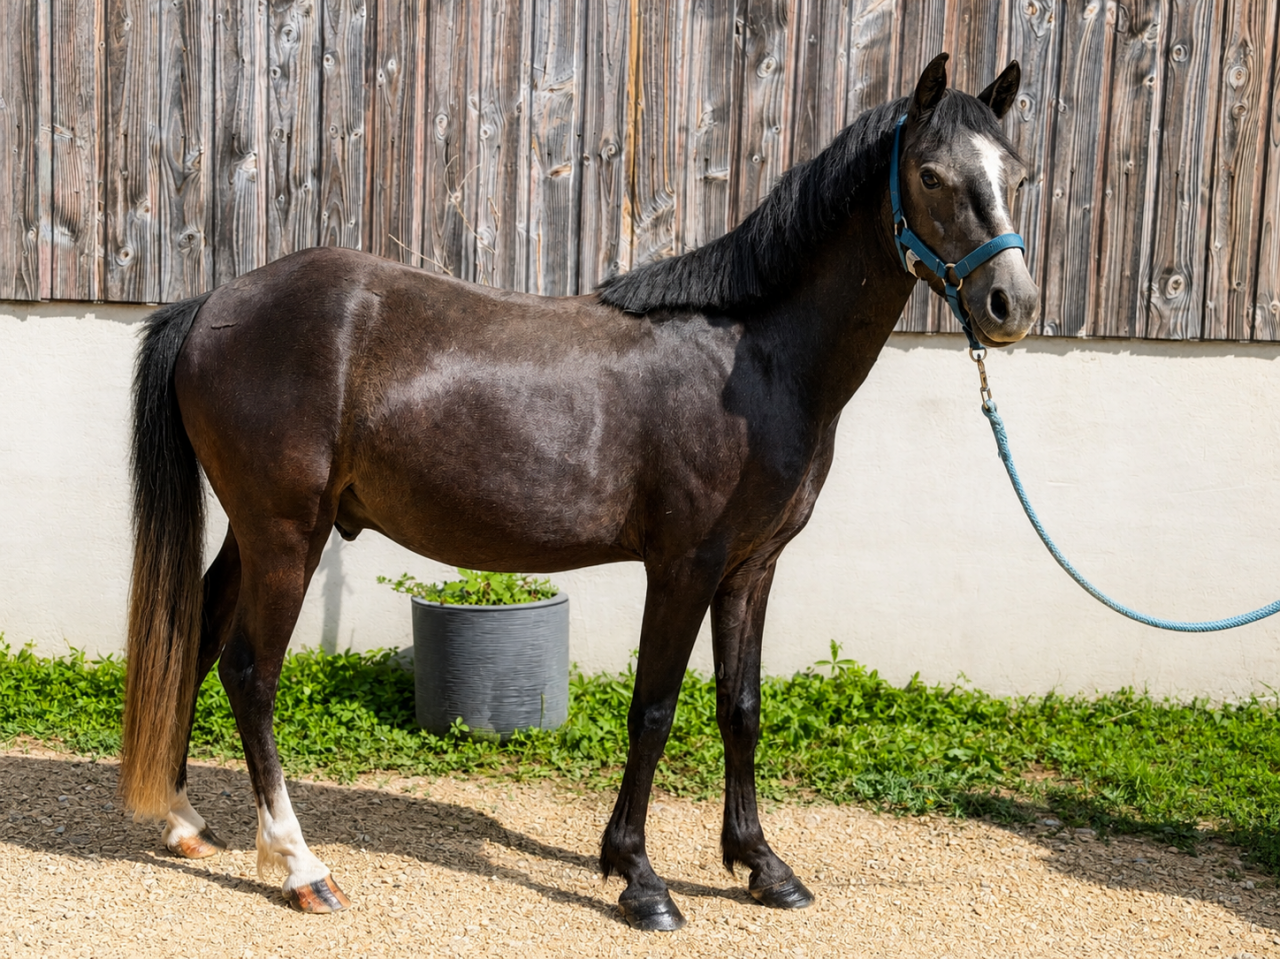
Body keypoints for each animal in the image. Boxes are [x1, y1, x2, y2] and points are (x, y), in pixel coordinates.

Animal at [121, 53, 1039, 930]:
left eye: (1018, 173)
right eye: (930, 175)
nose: (1011, 304)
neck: (752, 358)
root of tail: (212, 301)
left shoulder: (750, 568)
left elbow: (739, 707)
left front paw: (761, 864)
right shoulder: (683, 566)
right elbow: (655, 709)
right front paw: (639, 877)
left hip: (253, 530)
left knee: (197, 636)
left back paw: (183, 820)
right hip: (287, 533)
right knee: (250, 672)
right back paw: (301, 865)